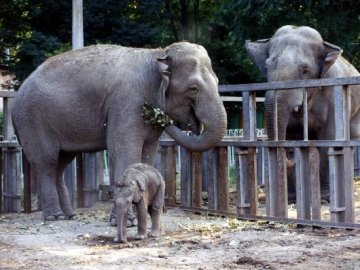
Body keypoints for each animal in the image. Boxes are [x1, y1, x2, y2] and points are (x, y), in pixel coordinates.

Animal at [12, 41, 226, 220]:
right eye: (193, 89)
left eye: (217, 83)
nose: (161, 116)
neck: (157, 54)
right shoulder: (126, 103)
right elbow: (124, 151)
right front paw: (126, 220)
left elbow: (148, 155)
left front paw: (142, 215)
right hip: (33, 121)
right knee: (47, 162)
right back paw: (54, 217)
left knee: (60, 163)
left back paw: (69, 215)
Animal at [246, 24, 360, 198]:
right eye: (266, 67)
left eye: (305, 70)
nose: (290, 153)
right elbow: (288, 134)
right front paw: (291, 197)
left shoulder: (333, 95)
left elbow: (329, 137)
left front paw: (325, 196)